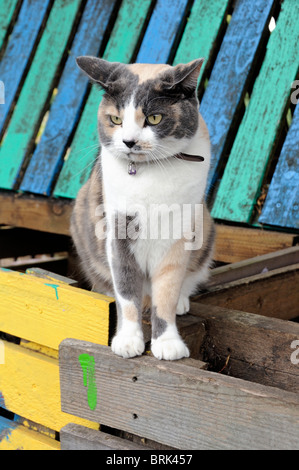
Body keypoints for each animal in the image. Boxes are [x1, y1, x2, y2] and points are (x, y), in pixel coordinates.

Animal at [71, 57, 214, 360]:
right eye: (115, 119)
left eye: (154, 118)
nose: (129, 141)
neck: (150, 173)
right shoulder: (118, 231)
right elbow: (127, 292)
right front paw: (127, 340)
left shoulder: (178, 234)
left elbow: (166, 293)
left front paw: (168, 343)